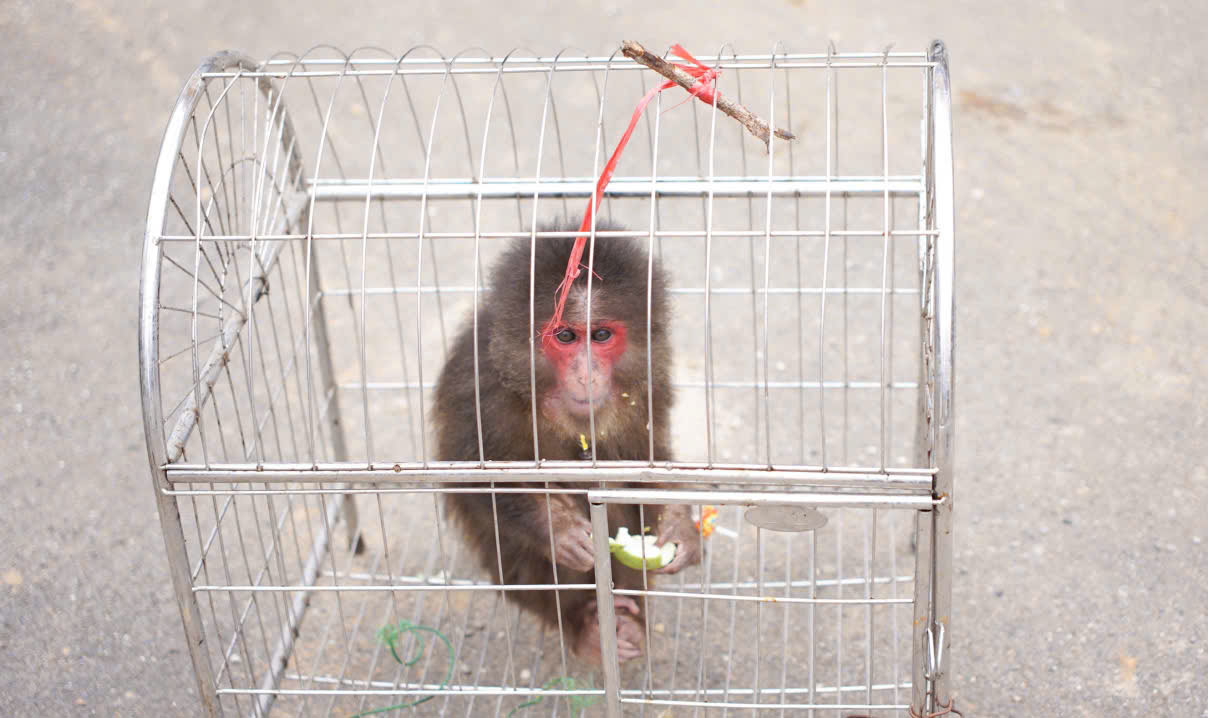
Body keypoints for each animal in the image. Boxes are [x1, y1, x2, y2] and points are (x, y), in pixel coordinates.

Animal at [432, 221, 701, 663]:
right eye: (565, 336)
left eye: (602, 335)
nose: (586, 374)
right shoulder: (479, 387)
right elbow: (477, 480)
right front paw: (554, 525)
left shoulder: (649, 386)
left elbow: (647, 463)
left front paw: (679, 524)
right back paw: (585, 624)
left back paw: (624, 618)